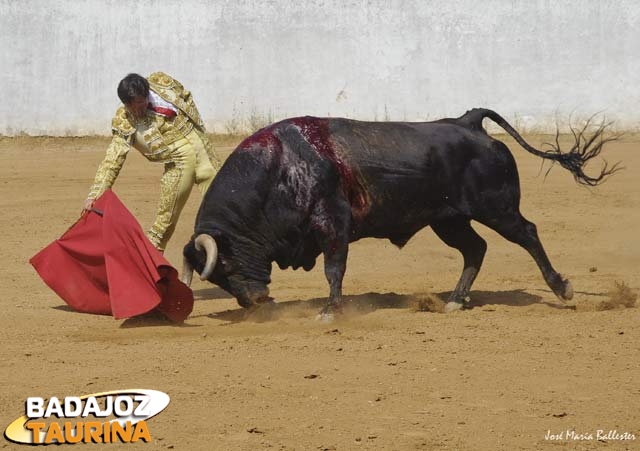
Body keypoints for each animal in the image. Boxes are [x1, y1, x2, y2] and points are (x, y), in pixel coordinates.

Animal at [181, 108, 620, 320]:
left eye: (227, 264)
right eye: (216, 279)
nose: (255, 303)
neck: (279, 167)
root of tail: (467, 122)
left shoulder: (332, 223)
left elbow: (334, 269)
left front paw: (330, 310)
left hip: (497, 208)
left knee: (527, 232)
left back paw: (562, 288)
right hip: (448, 220)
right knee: (475, 249)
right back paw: (455, 301)